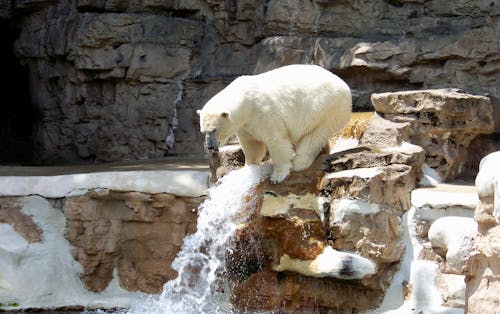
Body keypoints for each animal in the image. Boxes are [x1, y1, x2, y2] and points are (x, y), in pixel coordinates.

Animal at [196, 64, 352, 184]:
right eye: (203, 131)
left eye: (214, 130)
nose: (210, 147)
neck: (246, 101)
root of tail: (345, 86)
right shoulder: (245, 124)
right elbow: (252, 144)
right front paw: (249, 167)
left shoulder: (264, 112)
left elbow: (276, 140)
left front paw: (277, 176)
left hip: (326, 108)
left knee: (313, 136)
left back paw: (299, 162)